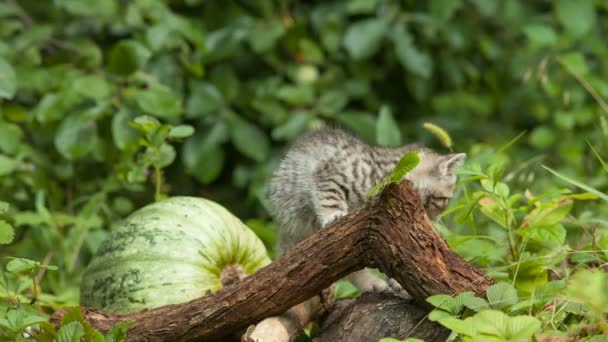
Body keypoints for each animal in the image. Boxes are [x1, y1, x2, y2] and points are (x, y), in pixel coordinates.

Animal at [268, 127, 464, 292]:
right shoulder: (330, 175)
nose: (434, 221)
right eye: (443, 200)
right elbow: (330, 197)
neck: (380, 175)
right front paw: (334, 215)